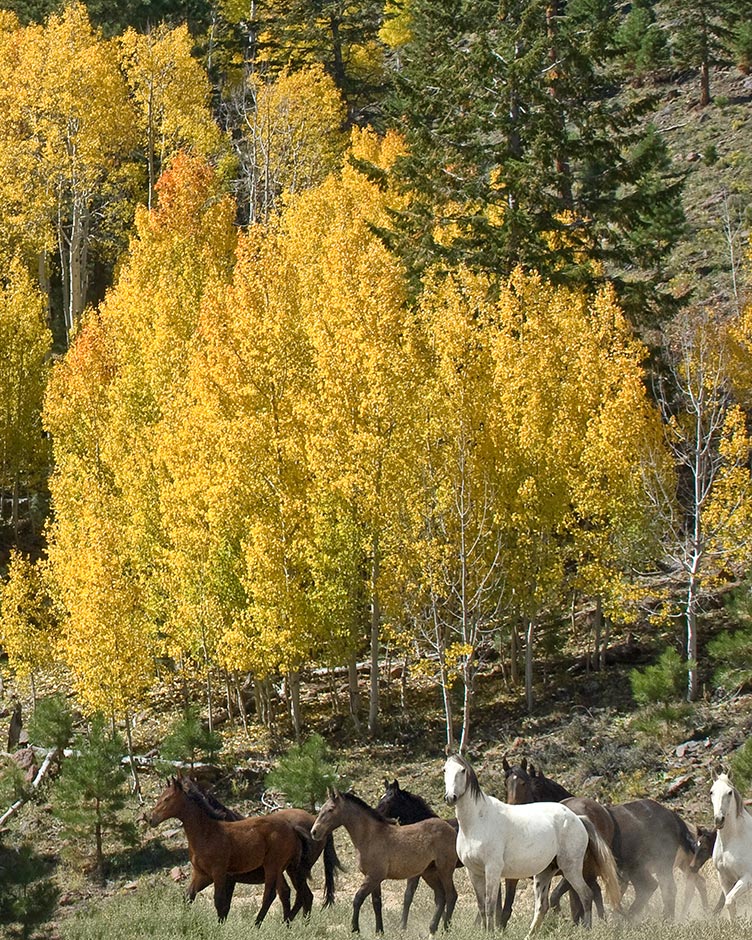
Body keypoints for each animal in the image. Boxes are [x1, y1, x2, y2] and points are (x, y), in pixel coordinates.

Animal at [149, 780, 306, 924]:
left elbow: (219, 902)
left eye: (167, 798)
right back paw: (285, 924)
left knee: (270, 895)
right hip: (281, 869)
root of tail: (292, 829)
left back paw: (256, 925)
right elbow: (189, 896)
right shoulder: (202, 874)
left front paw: (219, 929)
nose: (151, 819)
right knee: (288, 893)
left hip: (272, 867)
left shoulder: (219, 873)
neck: (207, 833)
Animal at [308, 784, 456, 932]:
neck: (370, 836)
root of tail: (451, 829)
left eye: (331, 809)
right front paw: (379, 931)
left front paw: (355, 929)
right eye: (321, 808)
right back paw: (433, 929)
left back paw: (445, 930)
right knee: (441, 897)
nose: (314, 832)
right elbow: (377, 903)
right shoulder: (374, 878)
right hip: (429, 872)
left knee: (451, 895)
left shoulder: (374, 876)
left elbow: (358, 899)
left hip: (445, 870)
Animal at [444, 756, 620, 932]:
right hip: (545, 873)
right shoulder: (474, 871)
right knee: (543, 906)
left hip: (571, 869)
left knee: (586, 895)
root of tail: (578, 818)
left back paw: (586, 929)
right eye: (445, 770)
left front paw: (491, 933)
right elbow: (482, 907)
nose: (450, 797)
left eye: (462, 770)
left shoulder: (493, 870)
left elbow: (490, 906)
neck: (478, 821)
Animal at [712, 768, 752, 916]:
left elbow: (729, 901)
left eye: (729, 792)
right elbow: (730, 904)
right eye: (711, 792)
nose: (719, 819)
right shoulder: (725, 879)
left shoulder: (747, 878)